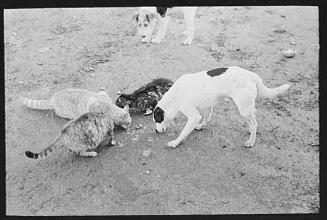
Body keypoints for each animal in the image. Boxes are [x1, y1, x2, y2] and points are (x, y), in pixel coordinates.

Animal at [154, 65, 292, 148]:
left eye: (157, 119)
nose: (155, 131)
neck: (174, 96)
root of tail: (250, 74)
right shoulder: (207, 105)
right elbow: (206, 118)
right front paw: (202, 126)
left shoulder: (193, 116)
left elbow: (183, 132)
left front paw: (175, 143)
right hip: (246, 106)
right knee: (254, 114)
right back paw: (251, 130)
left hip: (243, 109)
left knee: (254, 124)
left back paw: (251, 141)